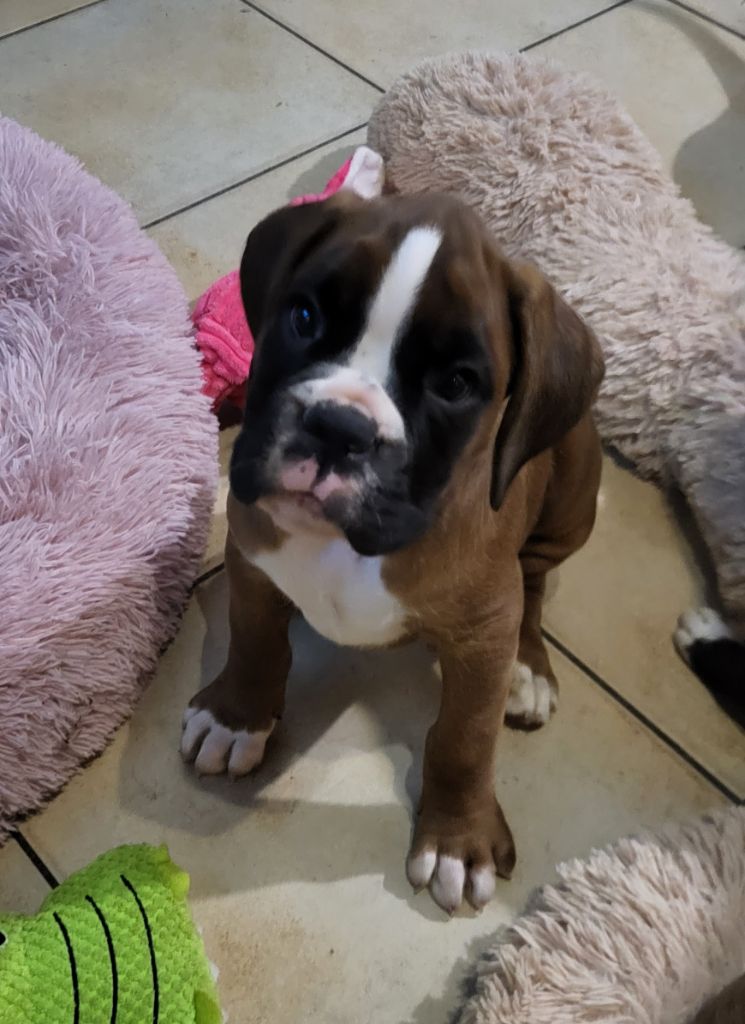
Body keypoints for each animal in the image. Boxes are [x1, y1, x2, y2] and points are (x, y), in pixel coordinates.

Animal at [181, 187, 604, 913]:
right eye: (303, 317)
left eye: (457, 384)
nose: (338, 425)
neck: (347, 548)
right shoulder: (253, 560)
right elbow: (254, 641)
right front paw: (237, 717)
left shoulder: (482, 633)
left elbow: (464, 737)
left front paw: (458, 838)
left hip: (573, 484)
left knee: (533, 583)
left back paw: (528, 669)